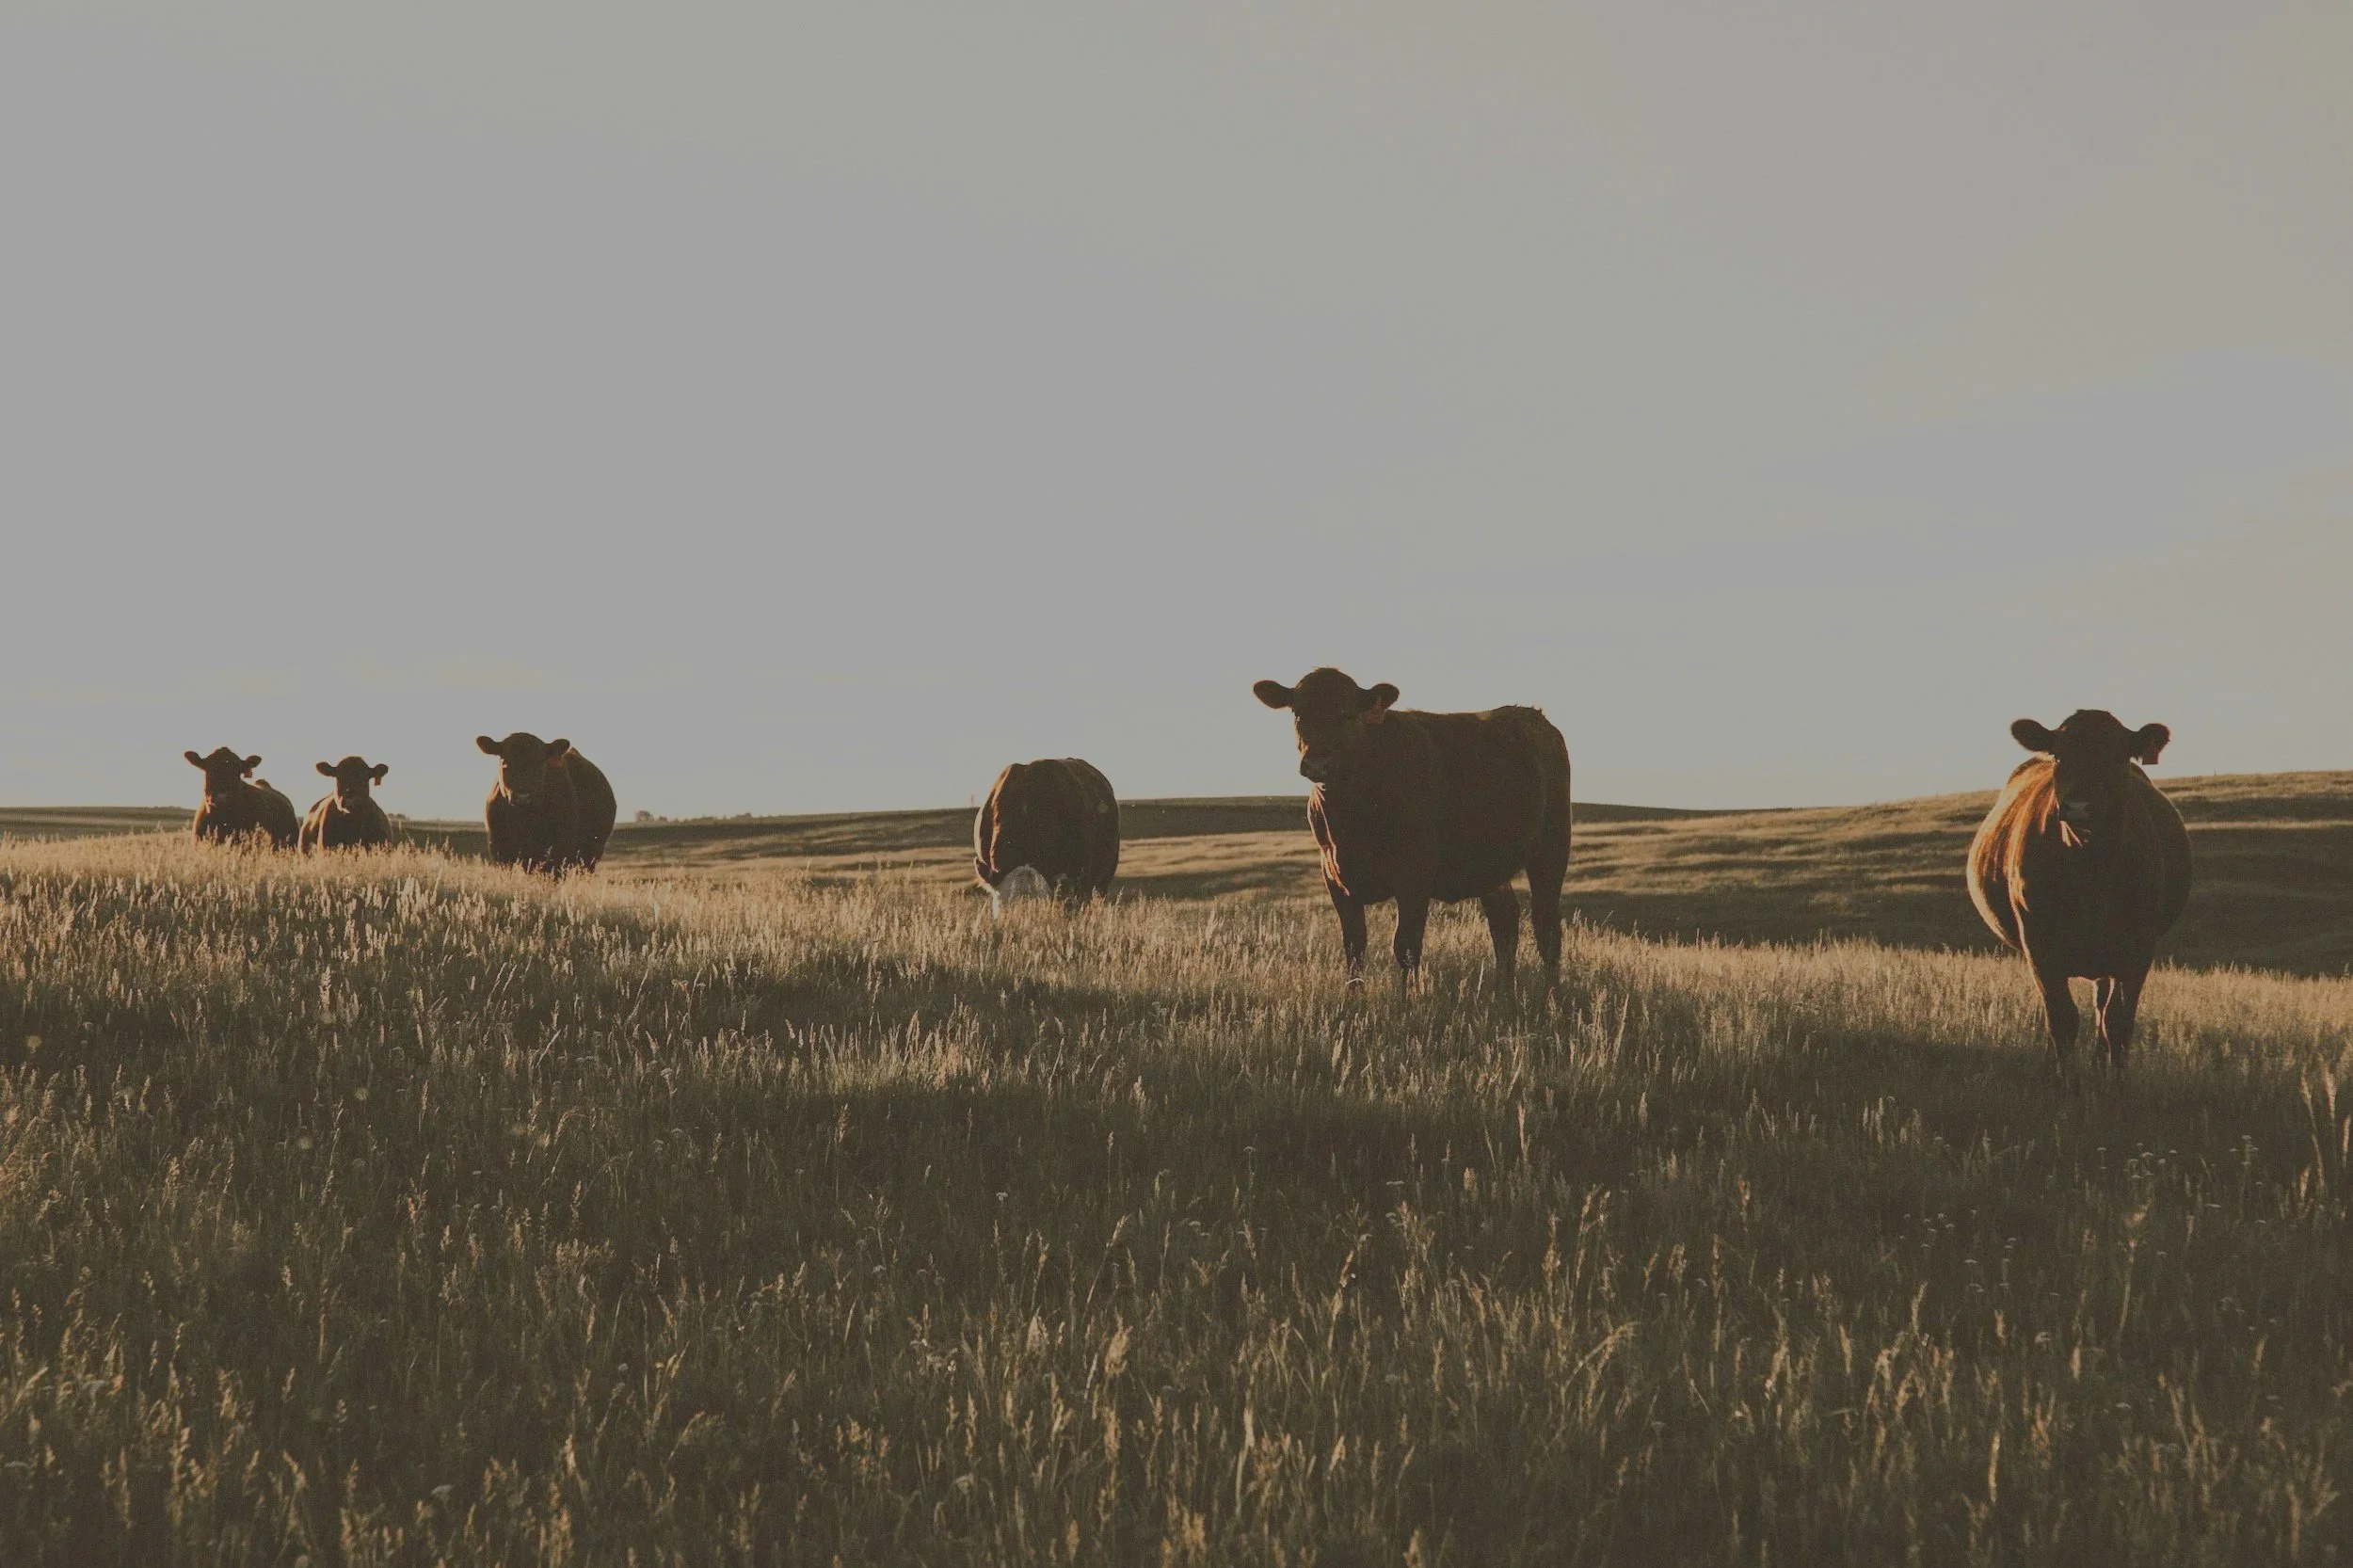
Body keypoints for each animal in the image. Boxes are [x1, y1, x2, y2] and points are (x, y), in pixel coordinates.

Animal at [475, 733, 617, 874]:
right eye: (504, 762)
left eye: (540, 763)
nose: (523, 796)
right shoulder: (500, 850)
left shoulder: (559, 850)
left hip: (591, 854)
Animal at [1253, 668, 1571, 991]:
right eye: (1298, 713)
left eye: (1348, 714)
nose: (1318, 763)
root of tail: (1533, 716)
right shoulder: (1335, 878)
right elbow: (1354, 947)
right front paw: (1354, 998)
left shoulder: (1414, 876)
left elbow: (1405, 947)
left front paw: (1406, 1000)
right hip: (1490, 864)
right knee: (1504, 920)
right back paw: (1502, 990)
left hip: (1553, 846)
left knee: (1546, 923)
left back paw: (1551, 991)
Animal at [1966, 710, 2192, 1072]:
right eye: (2059, 756)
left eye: (2117, 757)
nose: (2078, 806)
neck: (2091, 870)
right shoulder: (2039, 942)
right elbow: (2062, 1019)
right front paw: (2063, 1078)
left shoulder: (2139, 946)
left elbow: (2118, 1021)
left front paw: (2117, 1079)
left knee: (2101, 1005)